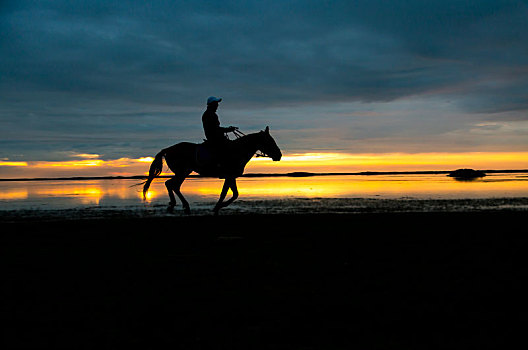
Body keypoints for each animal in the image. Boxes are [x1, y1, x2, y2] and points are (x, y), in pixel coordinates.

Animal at [140, 126, 280, 213]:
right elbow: (227, 193)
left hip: (184, 172)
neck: (237, 151)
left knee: (172, 185)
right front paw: (218, 206)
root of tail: (168, 149)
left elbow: (233, 193)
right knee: (171, 184)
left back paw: (179, 204)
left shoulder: (231, 176)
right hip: (182, 172)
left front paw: (219, 206)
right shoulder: (229, 176)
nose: (279, 155)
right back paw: (178, 204)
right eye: (269, 141)